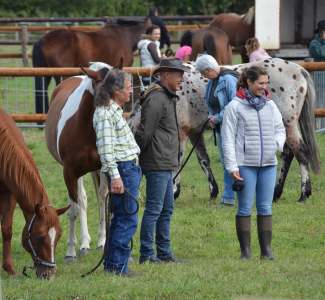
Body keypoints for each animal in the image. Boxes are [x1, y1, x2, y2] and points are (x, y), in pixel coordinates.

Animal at [0, 108, 68, 278]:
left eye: (59, 235)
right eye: (40, 236)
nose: (49, 274)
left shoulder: (10, 193)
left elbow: (7, 229)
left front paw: (9, 268)